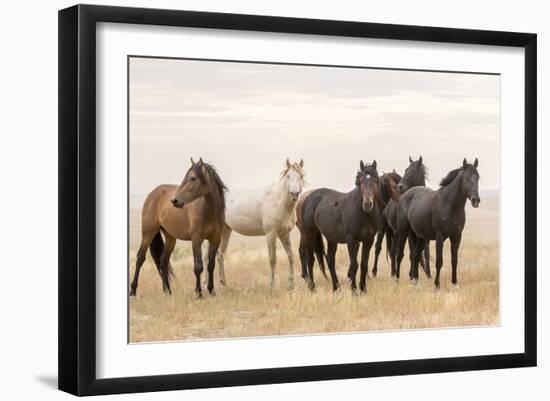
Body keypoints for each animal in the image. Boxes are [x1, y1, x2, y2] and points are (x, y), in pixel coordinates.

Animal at [130, 158, 227, 296]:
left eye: (192, 178)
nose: (174, 201)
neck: (209, 212)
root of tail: (152, 193)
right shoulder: (196, 239)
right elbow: (198, 266)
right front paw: (198, 293)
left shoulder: (215, 239)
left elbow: (211, 265)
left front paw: (211, 291)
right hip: (148, 233)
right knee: (140, 258)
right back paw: (133, 291)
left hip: (170, 238)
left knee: (163, 262)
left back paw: (168, 291)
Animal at [205, 158, 306, 290]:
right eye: (288, 176)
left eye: (301, 176)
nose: (294, 194)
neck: (279, 202)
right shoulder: (271, 234)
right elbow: (272, 259)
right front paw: (272, 286)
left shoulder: (284, 234)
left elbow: (291, 256)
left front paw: (291, 284)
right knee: (206, 257)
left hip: (226, 230)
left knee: (220, 256)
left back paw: (224, 285)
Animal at [302, 161, 384, 292]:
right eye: (360, 181)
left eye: (376, 180)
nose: (367, 204)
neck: (363, 214)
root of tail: (308, 198)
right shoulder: (351, 240)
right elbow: (354, 264)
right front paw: (354, 290)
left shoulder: (368, 240)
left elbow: (364, 264)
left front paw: (363, 289)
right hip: (310, 234)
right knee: (310, 259)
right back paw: (312, 287)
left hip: (331, 239)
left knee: (330, 261)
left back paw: (336, 287)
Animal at [394, 158, 480, 286]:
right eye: (466, 178)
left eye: (478, 177)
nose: (476, 200)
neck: (449, 204)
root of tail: (405, 195)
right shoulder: (440, 236)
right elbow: (439, 261)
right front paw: (437, 284)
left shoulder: (456, 237)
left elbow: (454, 261)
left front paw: (454, 283)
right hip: (403, 233)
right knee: (400, 254)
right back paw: (397, 279)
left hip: (420, 237)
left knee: (416, 257)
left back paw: (416, 281)